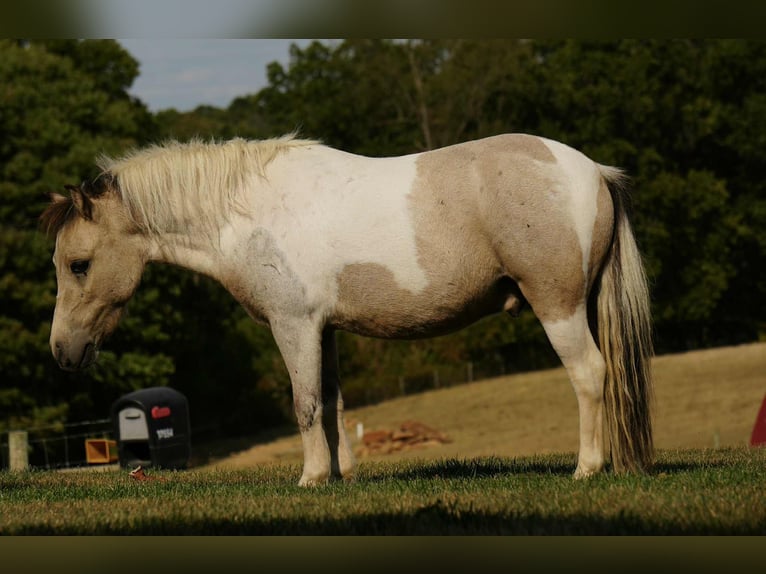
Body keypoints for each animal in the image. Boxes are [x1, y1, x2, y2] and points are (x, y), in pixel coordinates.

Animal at [41, 133, 653, 485]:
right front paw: (343, 476)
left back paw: (587, 468)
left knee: (590, 374)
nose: (62, 352)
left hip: (558, 306)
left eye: (78, 264)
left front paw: (311, 478)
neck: (246, 211)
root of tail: (593, 170)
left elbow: (306, 404)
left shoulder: (293, 326)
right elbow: (333, 402)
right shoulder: (325, 330)